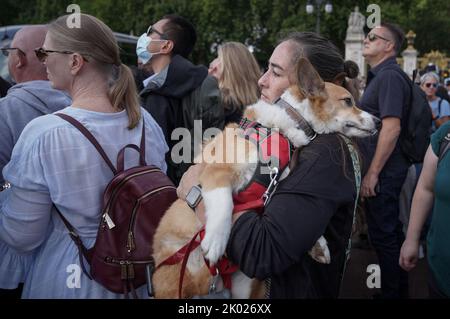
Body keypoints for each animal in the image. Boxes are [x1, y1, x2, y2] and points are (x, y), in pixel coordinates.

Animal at [152, 57, 380, 300]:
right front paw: (215, 241)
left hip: (243, 284)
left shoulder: (274, 186)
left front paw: (318, 246)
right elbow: (224, 204)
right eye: (348, 101)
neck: (282, 126)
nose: (378, 121)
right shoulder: (218, 171)